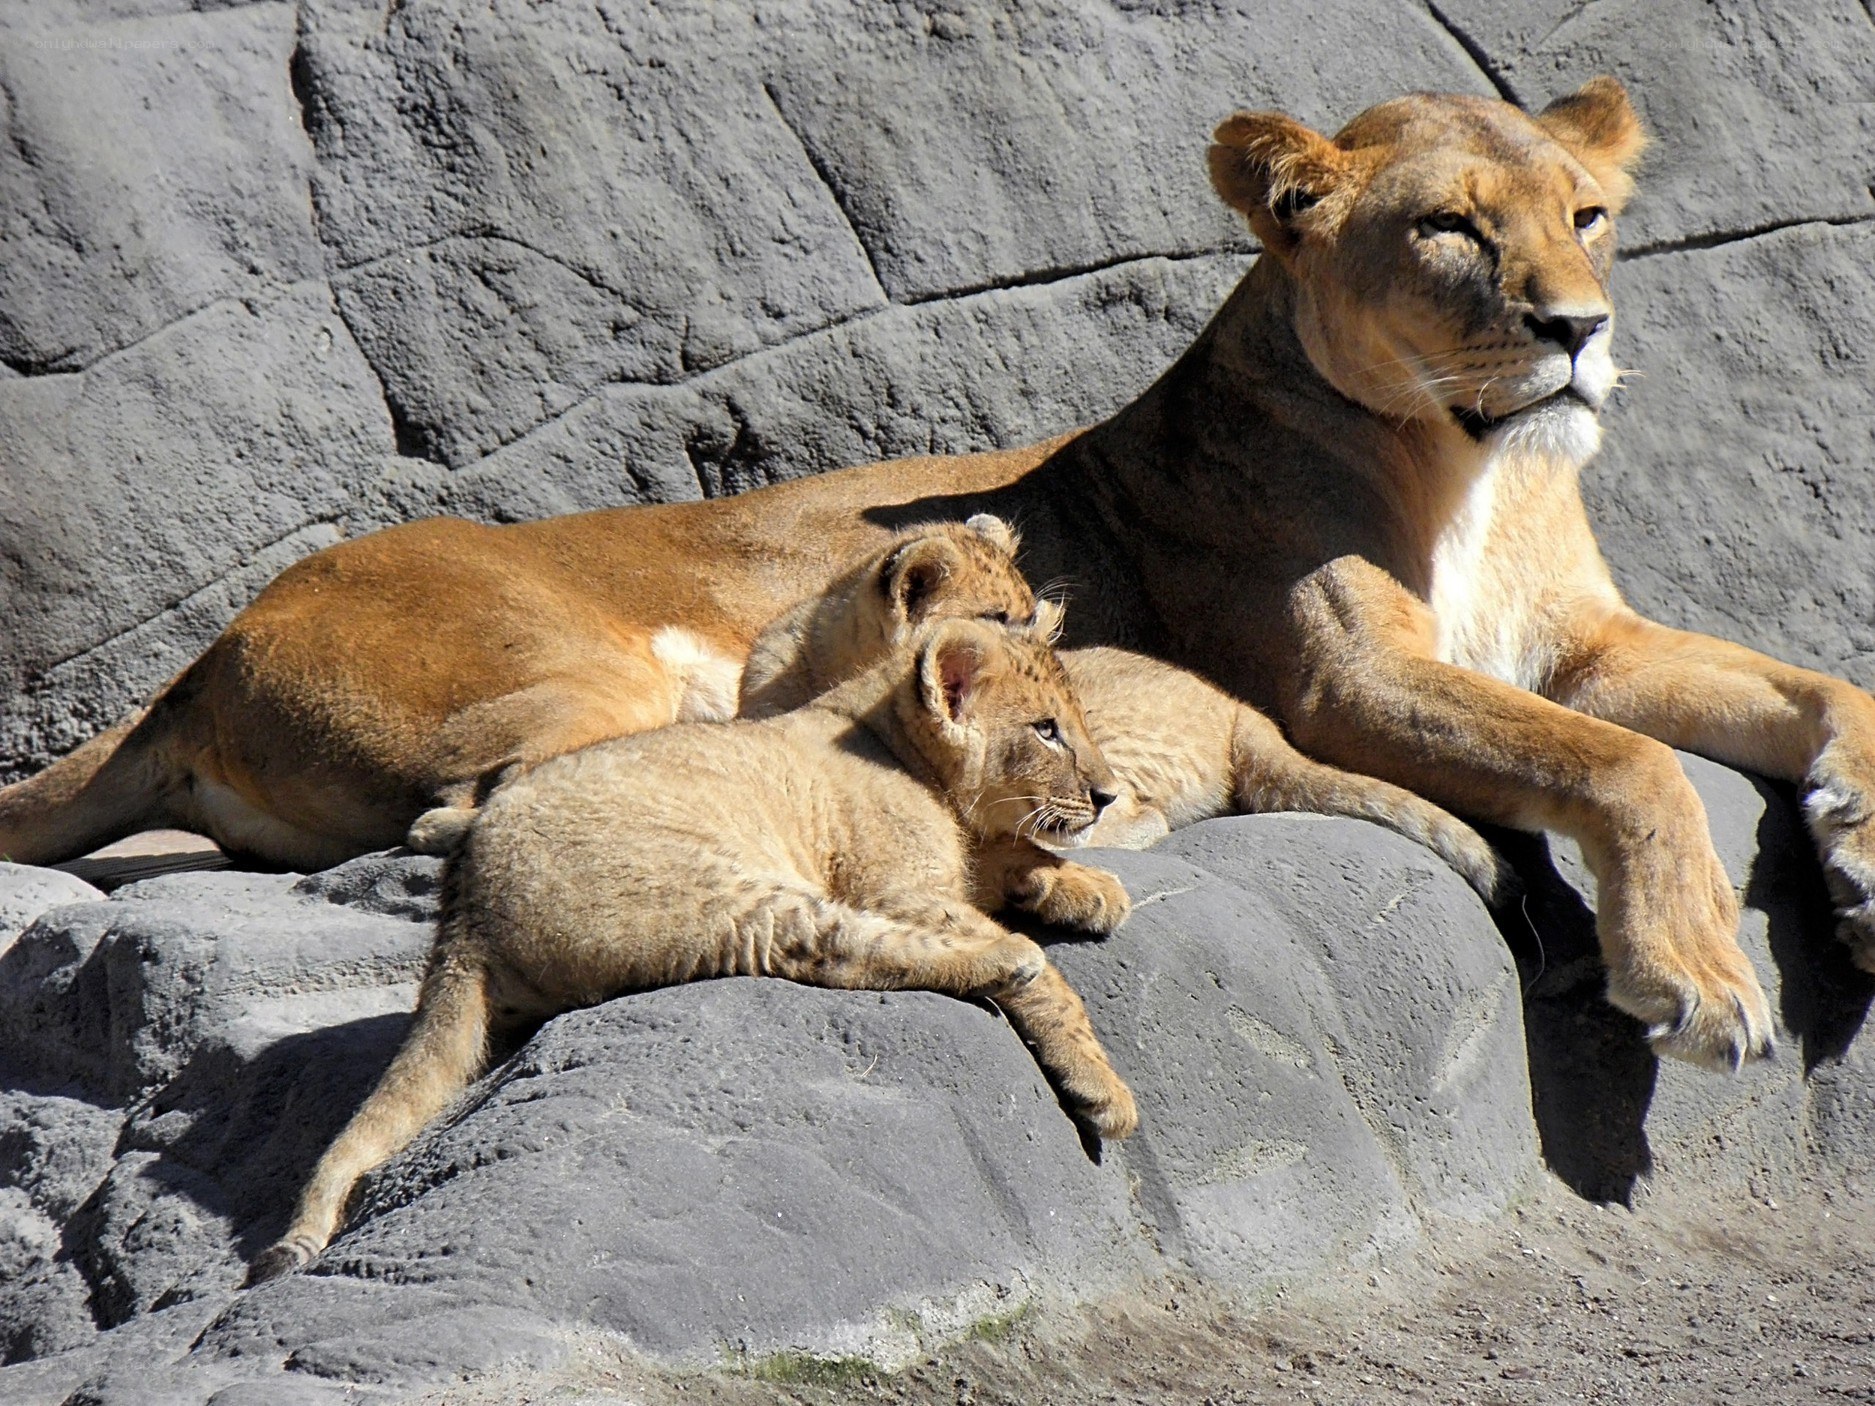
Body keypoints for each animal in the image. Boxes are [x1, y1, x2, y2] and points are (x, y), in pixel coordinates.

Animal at [248, 615, 1137, 1282]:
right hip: (720, 894)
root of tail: (462, 906)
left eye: (1077, 724)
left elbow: (1019, 855)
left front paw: (1091, 887)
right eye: (1047, 731)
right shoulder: (900, 889)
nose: (1106, 794)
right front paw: (1098, 1085)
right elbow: (1027, 960)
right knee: (842, 949)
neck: (896, 744)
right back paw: (1008, 962)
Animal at [740, 520, 1508, 898]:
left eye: (1035, 617)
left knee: (1138, 816)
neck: (825, 662)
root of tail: (1240, 710)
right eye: (998, 620)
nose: (1048, 651)